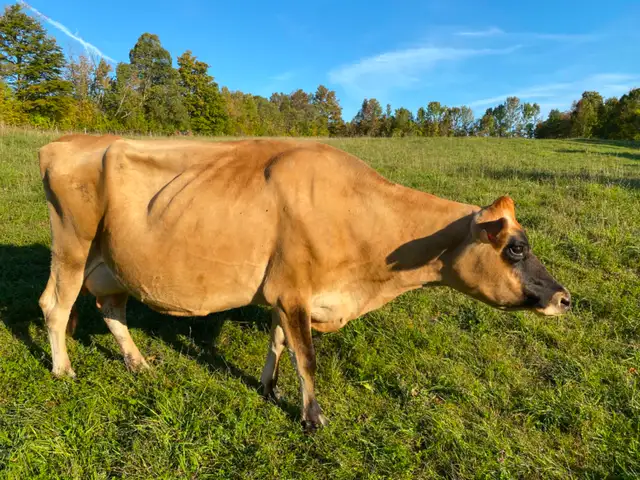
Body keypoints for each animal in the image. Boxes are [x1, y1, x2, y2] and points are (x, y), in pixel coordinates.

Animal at [38, 134, 571, 431]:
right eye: (515, 248)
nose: (565, 298)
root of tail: (64, 141)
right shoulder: (292, 289)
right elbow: (306, 357)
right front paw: (312, 417)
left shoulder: (285, 291)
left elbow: (278, 343)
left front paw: (269, 388)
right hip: (72, 244)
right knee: (55, 305)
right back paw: (63, 370)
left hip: (110, 262)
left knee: (112, 309)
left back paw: (139, 363)